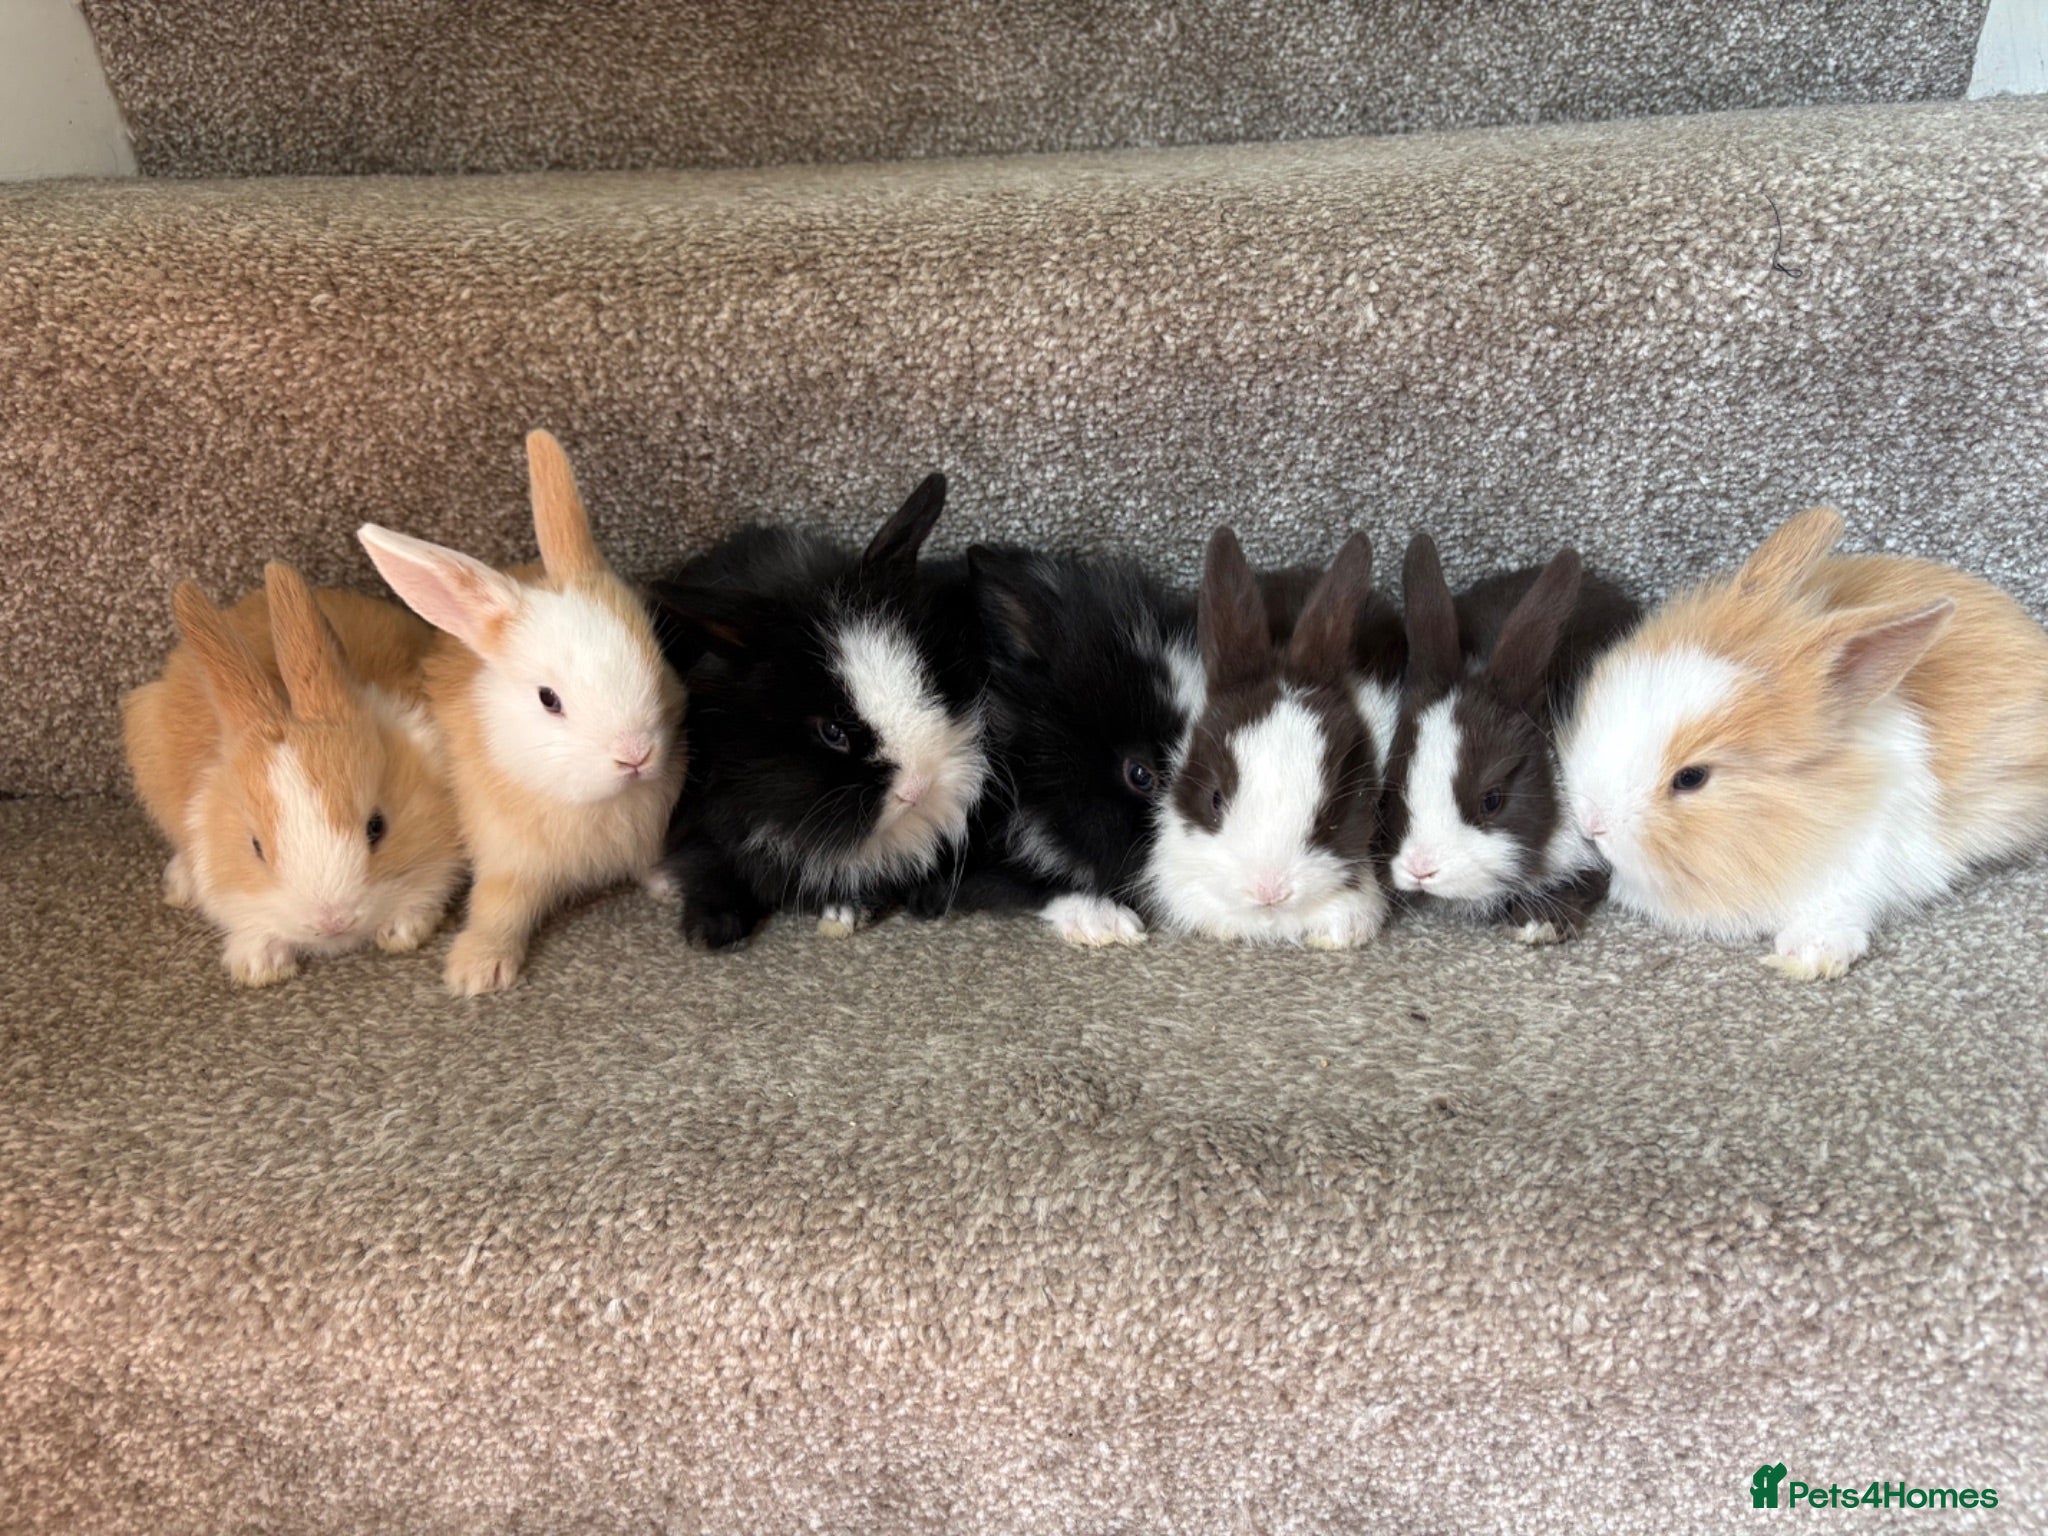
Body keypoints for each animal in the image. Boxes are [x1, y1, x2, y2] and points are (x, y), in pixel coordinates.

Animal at [357, 429, 687, 996]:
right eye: (548, 699)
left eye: (657, 657)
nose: (636, 755)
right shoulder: (508, 857)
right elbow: (499, 907)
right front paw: (478, 969)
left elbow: (647, 864)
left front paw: (672, 884)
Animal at [652, 472, 990, 950]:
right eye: (833, 732)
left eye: (928, 681)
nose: (919, 789)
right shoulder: (700, 812)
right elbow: (707, 863)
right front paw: (711, 931)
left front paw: (846, 910)